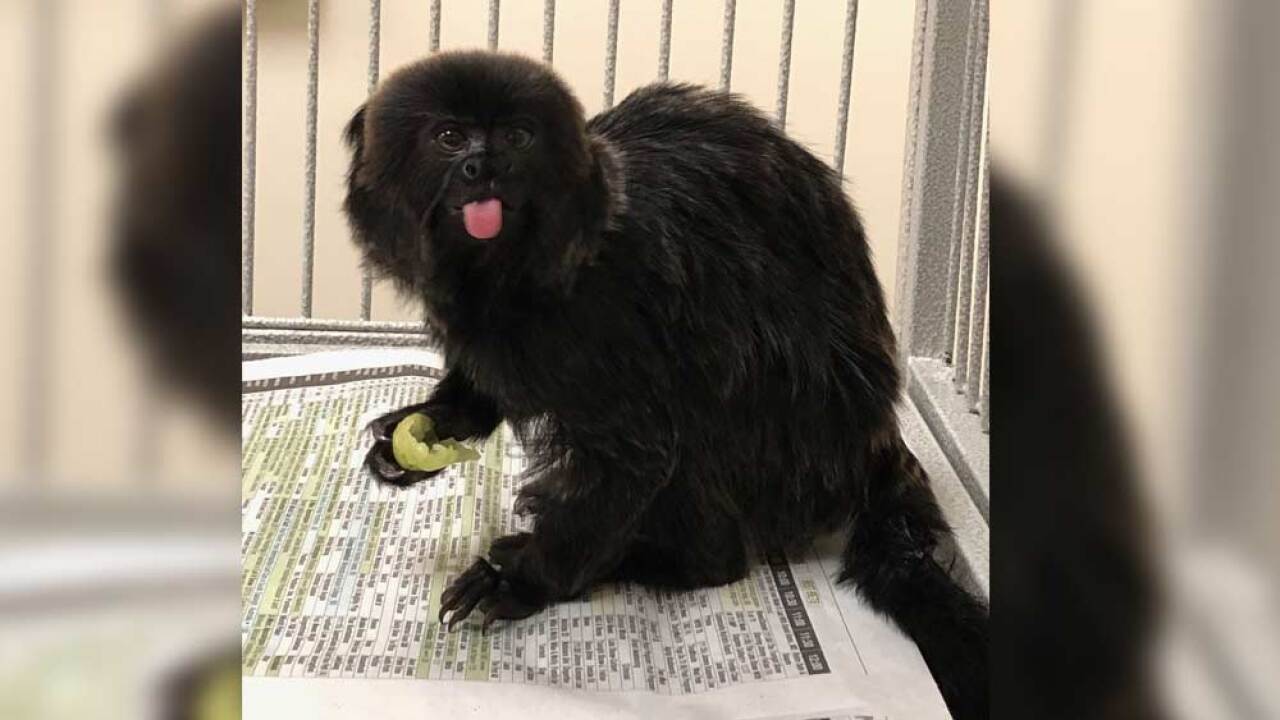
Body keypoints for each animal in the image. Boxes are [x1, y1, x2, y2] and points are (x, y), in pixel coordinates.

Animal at [343, 51, 987, 718]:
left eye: (518, 138)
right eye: (449, 138)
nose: (483, 168)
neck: (508, 275)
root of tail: (877, 447)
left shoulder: (609, 309)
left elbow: (639, 451)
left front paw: (524, 579)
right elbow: (482, 388)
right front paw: (427, 430)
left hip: (791, 452)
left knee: (707, 428)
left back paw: (663, 560)